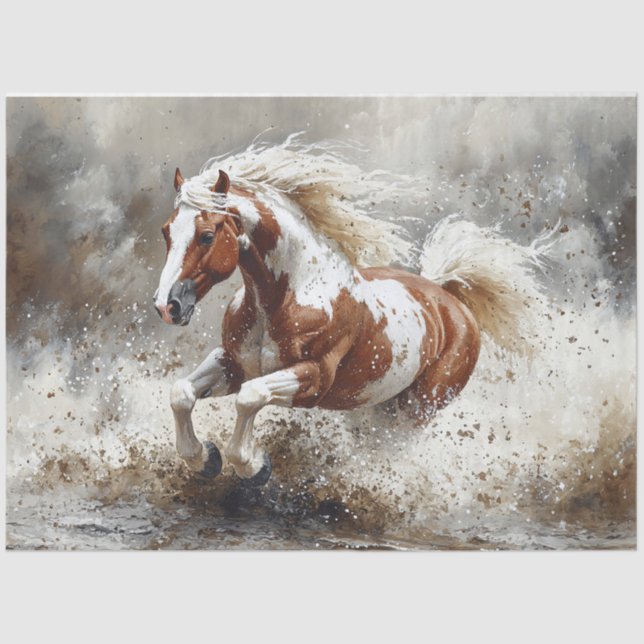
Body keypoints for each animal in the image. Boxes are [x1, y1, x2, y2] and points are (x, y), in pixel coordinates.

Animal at [153, 137, 546, 485]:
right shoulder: (233, 364)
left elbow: (251, 397)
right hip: (375, 406)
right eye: (166, 231)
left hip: (416, 410)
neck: (287, 296)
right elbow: (181, 393)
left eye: (206, 235)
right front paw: (204, 459)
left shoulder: (313, 379)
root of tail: (449, 300)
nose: (167, 306)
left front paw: (254, 466)